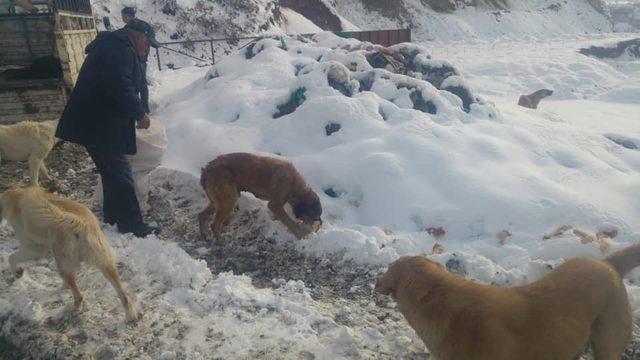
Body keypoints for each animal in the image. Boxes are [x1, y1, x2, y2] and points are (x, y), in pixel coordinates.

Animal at [0, 187, 139, 322]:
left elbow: (12, 257)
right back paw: (130, 316)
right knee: (123, 294)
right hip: (105, 262)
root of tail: (78, 222)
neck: (15, 195)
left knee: (79, 295)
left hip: (63, 263)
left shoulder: (34, 249)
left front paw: (17, 272)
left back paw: (72, 308)